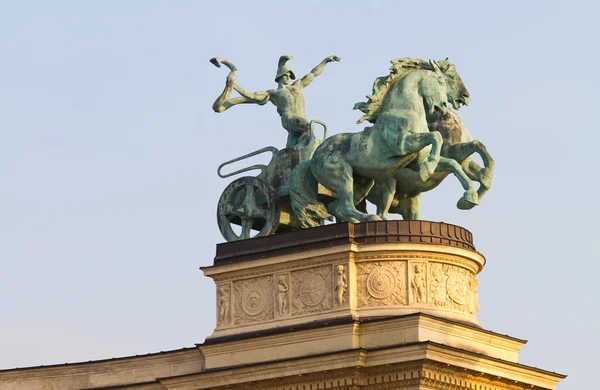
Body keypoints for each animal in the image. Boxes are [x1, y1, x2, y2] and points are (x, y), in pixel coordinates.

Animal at [290, 59, 454, 227]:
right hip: (343, 178)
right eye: (440, 81)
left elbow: (451, 162)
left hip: (362, 184)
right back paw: (371, 218)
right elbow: (436, 136)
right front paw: (428, 169)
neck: (404, 112)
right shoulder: (403, 145)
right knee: (345, 206)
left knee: (335, 207)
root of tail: (312, 160)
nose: (444, 106)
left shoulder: (416, 160)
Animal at [360, 59, 492, 221]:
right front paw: (467, 199)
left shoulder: (464, 162)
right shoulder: (453, 152)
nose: (466, 96)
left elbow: (479, 159)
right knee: (380, 213)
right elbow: (470, 150)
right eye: (451, 75)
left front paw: (471, 197)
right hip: (388, 188)